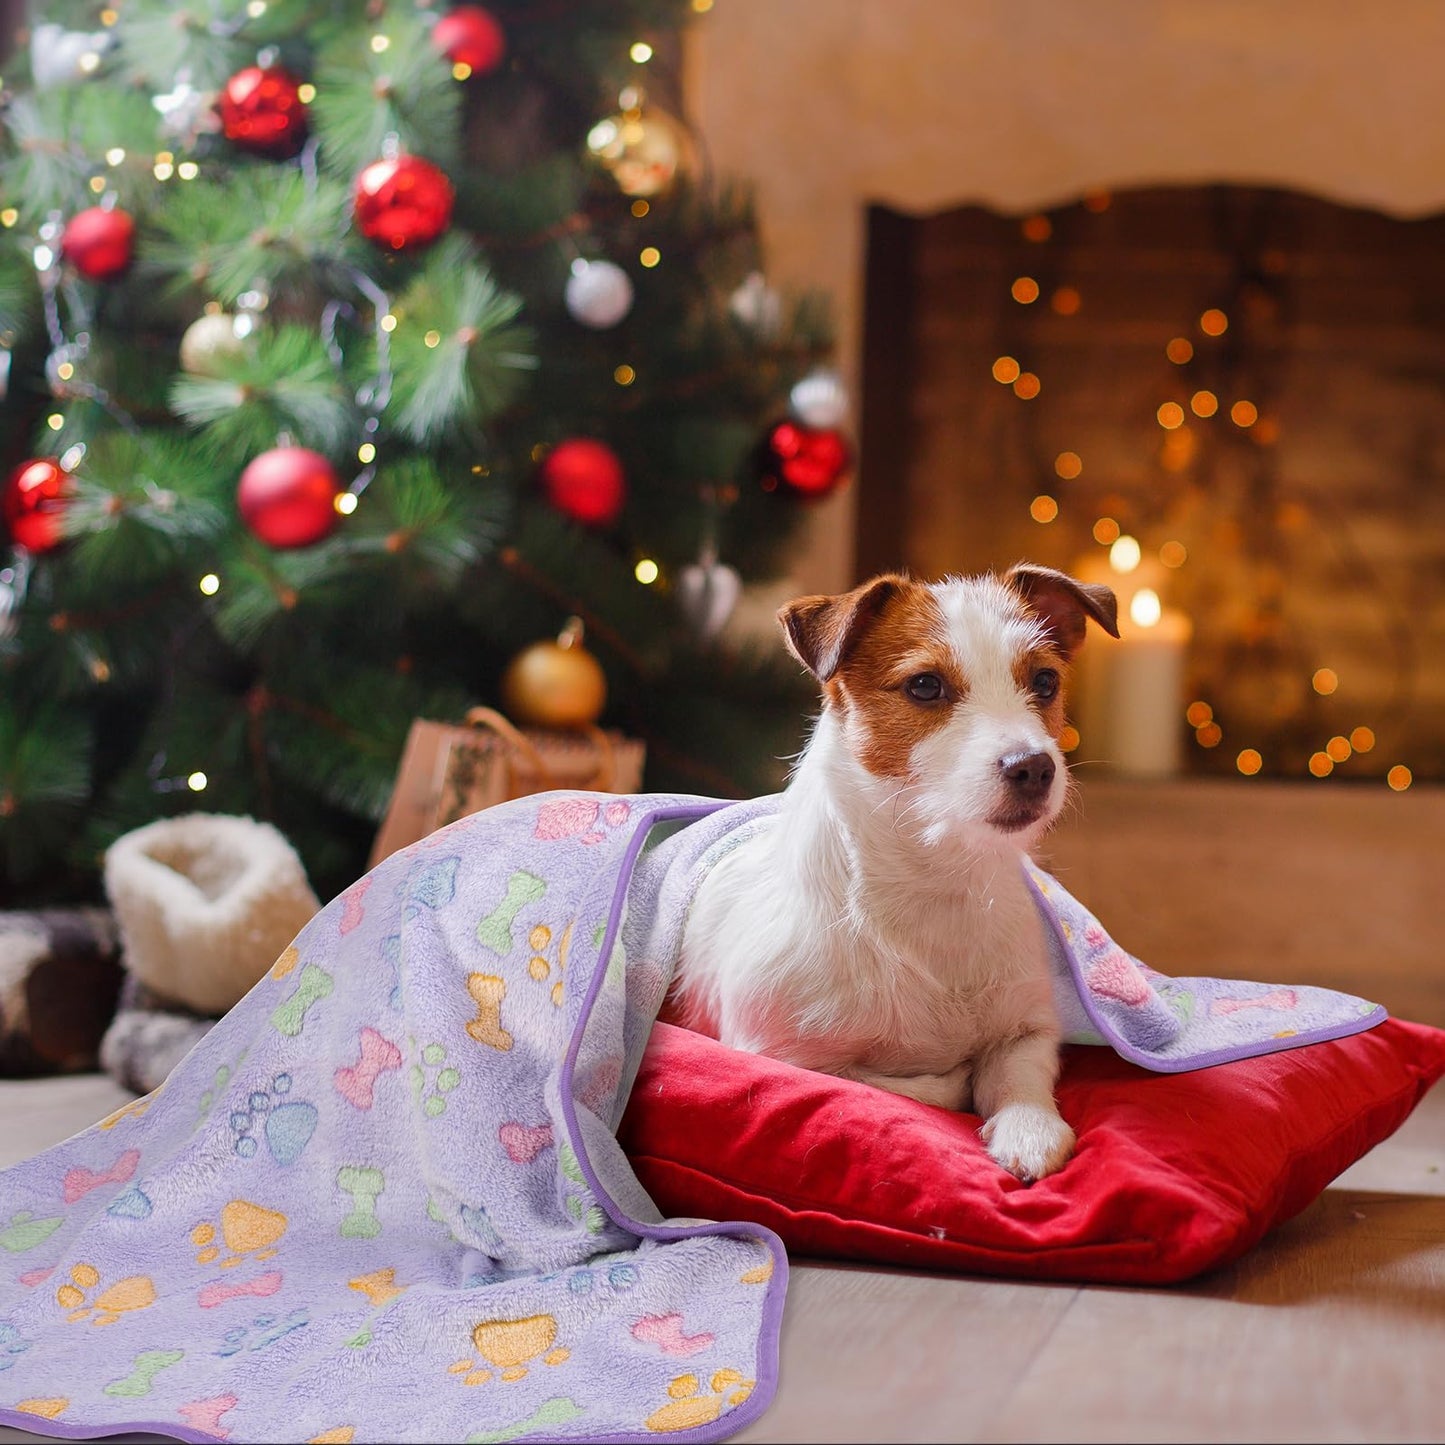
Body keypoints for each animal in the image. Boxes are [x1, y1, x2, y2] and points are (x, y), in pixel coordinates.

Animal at [670, 557, 1121, 1179]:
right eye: (925, 686)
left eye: (1045, 683)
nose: (1034, 766)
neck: (936, 882)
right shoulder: (778, 1056)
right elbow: (891, 1083)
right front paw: (955, 1082)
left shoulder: (1027, 1028)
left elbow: (1018, 1074)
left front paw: (1030, 1127)